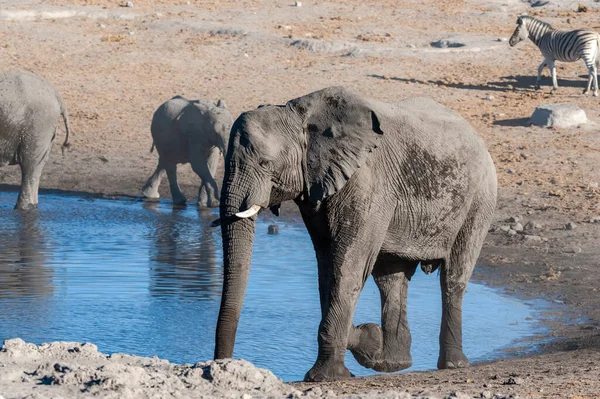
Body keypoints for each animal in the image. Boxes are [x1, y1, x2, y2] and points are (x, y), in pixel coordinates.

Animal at [212, 86, 496, 382]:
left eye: (266, 163)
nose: (221, 363)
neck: (300, 115)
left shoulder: (368, 182)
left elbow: (347, 268)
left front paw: (326, 376)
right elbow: (328, 270)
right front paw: (370, 340)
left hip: (480, 198)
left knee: (453, 277)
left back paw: (453, 364)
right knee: (390, 278)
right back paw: (393, 361)